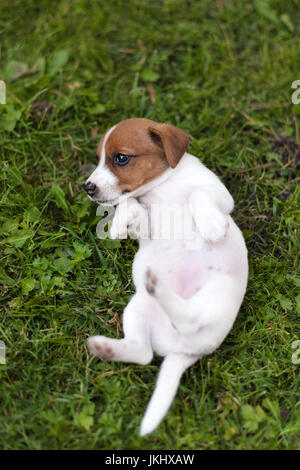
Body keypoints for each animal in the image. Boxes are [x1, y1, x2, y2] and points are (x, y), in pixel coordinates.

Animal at [84, 118, 248, 436]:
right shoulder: (144, 224)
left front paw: (211, 225)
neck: (163, 186)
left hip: (219, 291)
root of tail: (182, 351)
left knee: (188, 319)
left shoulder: (219, 193)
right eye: (98, 158)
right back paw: (107, 347)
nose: (88, 187)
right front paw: (118, 225)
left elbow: (198, 194)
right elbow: (129, 204)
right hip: (138, 308)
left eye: (120, 158)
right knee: (144, 352)